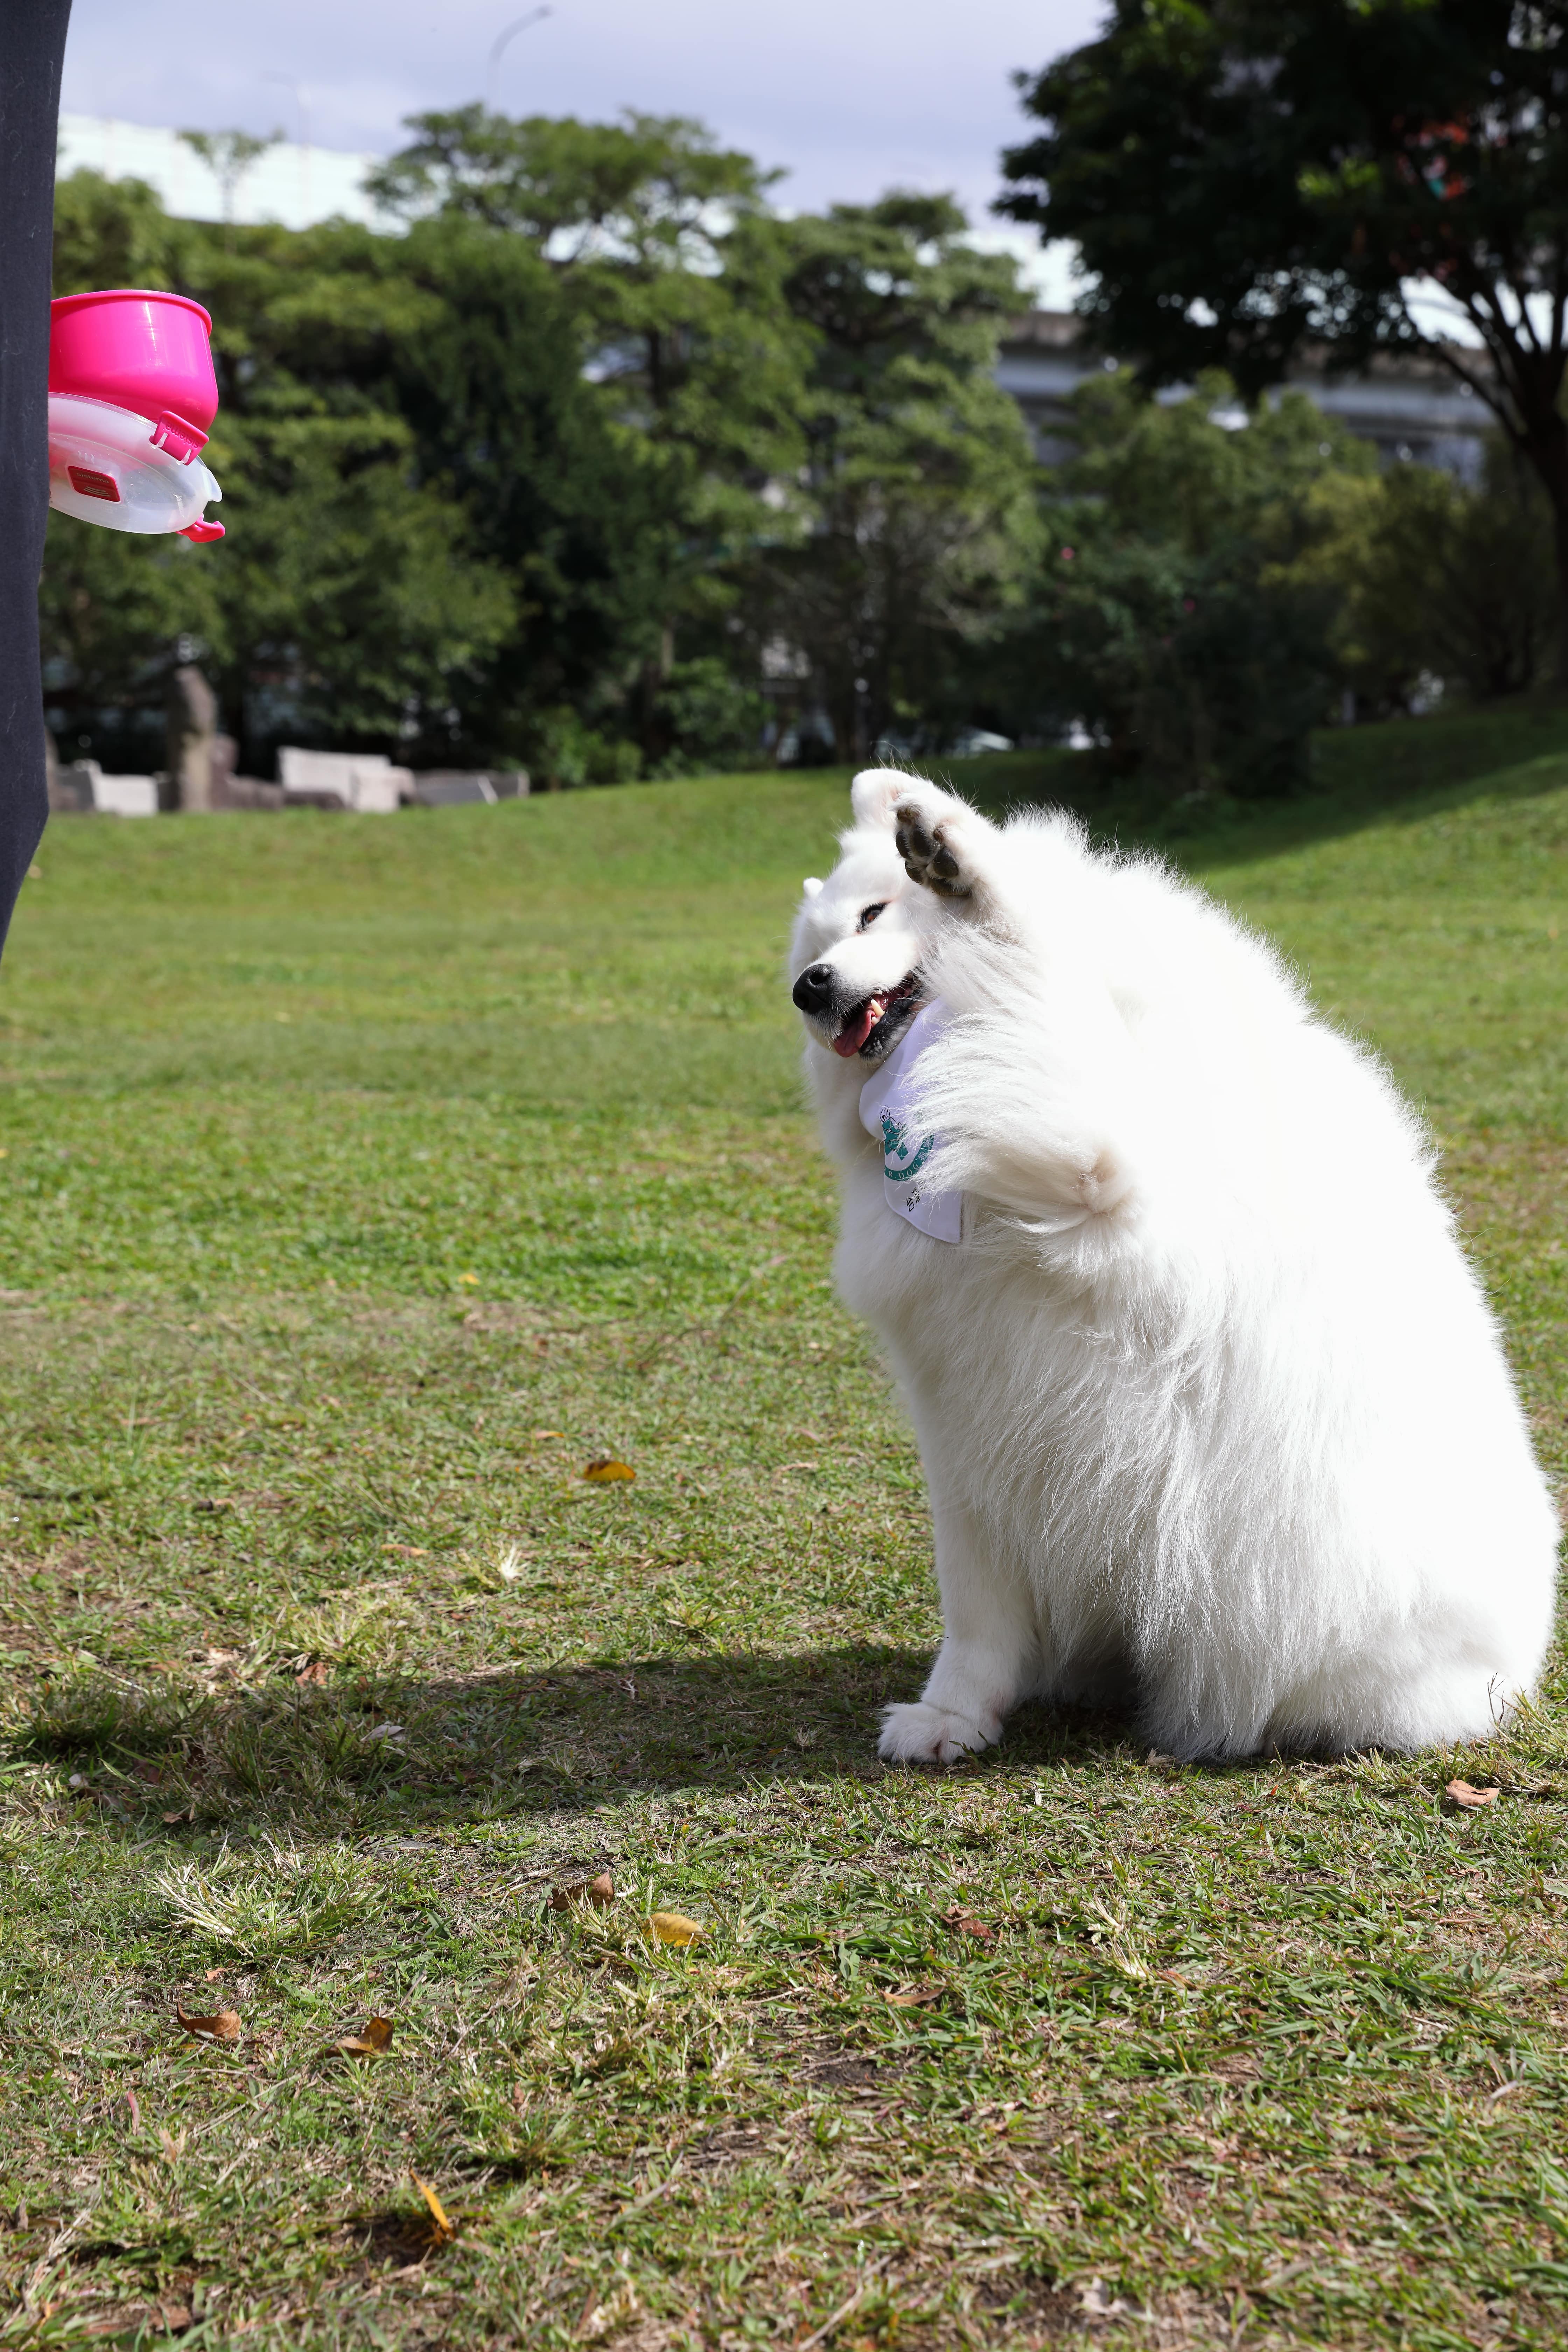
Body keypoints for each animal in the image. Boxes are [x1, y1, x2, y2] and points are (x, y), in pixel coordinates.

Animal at [790, 771, 1551, 1769]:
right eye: (814, 948)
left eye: (874, 912)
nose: (808, 988)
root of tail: (1518, 1654)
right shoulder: (963, 1437)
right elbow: (976, 1619)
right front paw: (952, 1718)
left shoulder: (1103, 1170)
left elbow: (1026, 953)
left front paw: (955, 856)